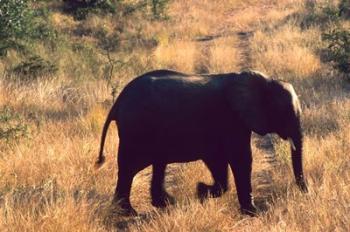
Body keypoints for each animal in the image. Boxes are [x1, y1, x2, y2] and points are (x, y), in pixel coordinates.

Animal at [94, 69, 308, 216]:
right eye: (285, 112)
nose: (306, 193)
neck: (265, 81)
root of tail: (119, 100)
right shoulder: (231, 119)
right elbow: (240, 159)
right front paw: (251, 212)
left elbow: (219, 160)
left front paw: (202, 192)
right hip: (136, 130)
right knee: (129, 168)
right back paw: (127, 212)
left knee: (157, 164)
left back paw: (164, 204)